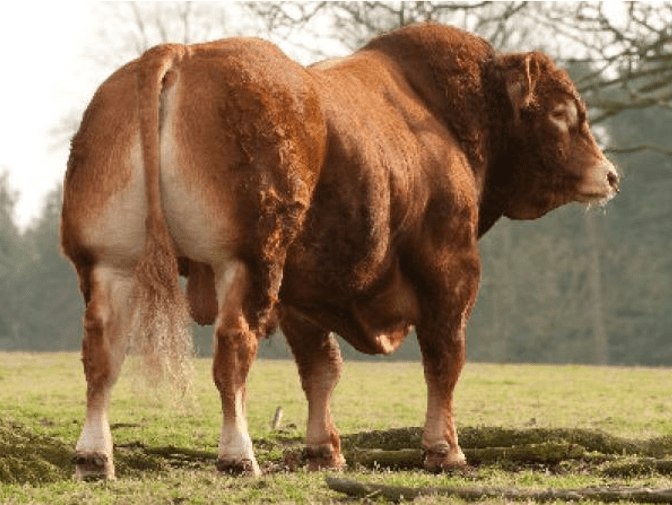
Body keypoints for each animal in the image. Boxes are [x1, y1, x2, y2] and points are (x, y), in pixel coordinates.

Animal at [61, 23, 619, 479]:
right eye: (562, 114)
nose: (610, 174)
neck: (443, 119)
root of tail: (183, 52)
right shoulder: (450, 270)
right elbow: (444, 358)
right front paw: (445, 449)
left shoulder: (303, 291)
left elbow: (320, 369)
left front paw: (323, 451)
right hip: (247, 260)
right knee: (233, 347)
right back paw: (238, 455)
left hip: (109, 263)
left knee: (101, 353)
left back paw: (94, 456)